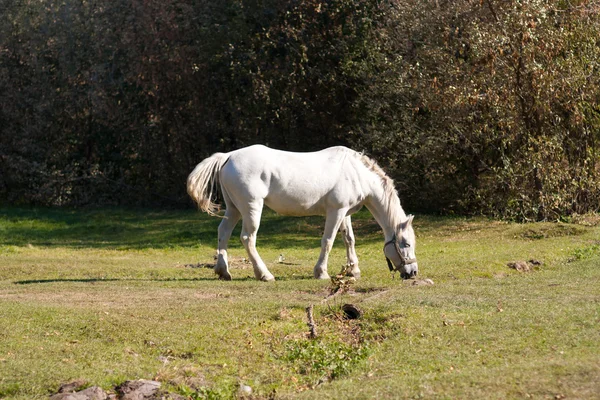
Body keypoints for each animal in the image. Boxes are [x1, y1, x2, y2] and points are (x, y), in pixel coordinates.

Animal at [188, 145, 418, 282]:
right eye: (406, 244)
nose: (413, 272)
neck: (357, 173)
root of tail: (228, 156)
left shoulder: (345, 213)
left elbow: (349, 239)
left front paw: (353, 270)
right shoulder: (336, 212)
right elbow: (328, 241)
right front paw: (321, 272)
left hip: (234, 209)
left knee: (223, 232)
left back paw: (223, 271)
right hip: (252, 208)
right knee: (247, 238)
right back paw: (264, 274)